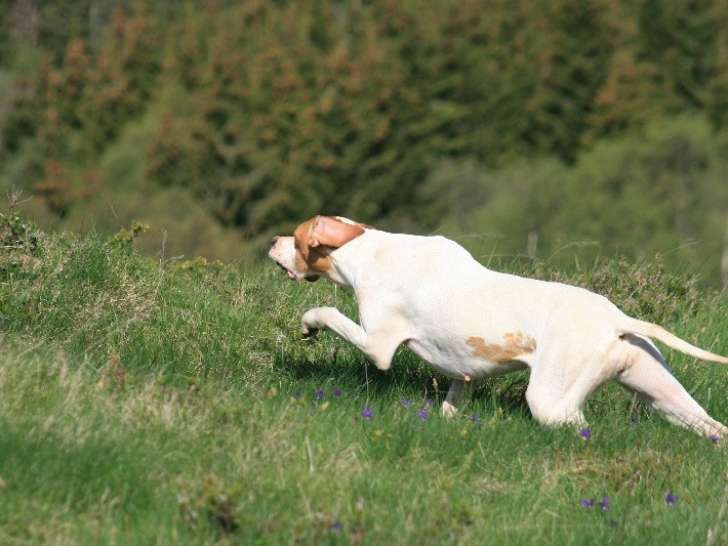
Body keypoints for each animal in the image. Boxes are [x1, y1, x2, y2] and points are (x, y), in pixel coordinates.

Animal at [268, 215, 728, 436]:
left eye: (295, 236)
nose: (271, 241)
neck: (370, 250)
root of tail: (617, 318)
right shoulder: (463, 372)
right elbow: (453, 400)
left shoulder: (377, 345)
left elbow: (327, 312)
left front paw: (308, 325)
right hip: (664, 395)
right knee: (713, 428)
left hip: (551, 402)